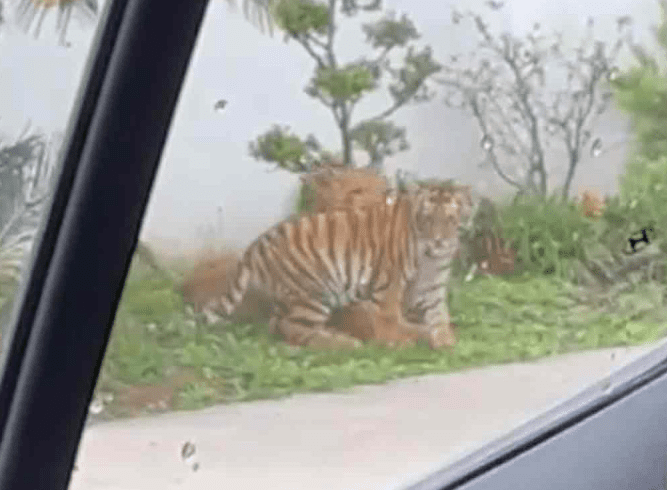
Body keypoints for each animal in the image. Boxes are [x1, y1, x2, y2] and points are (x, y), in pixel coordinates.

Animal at [201, 179, 473, 350]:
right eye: (428, 219)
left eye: (450, 220)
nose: (439, 241)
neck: (431, 258)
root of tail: (256, 245)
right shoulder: (389, 284)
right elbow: (389, 319)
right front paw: (397, 342)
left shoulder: (431, 286)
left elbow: (439, 316)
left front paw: (444, 339)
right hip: (315, 289)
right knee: (296, 329)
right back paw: (346, 343)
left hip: (292, 295)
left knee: (279, 327)